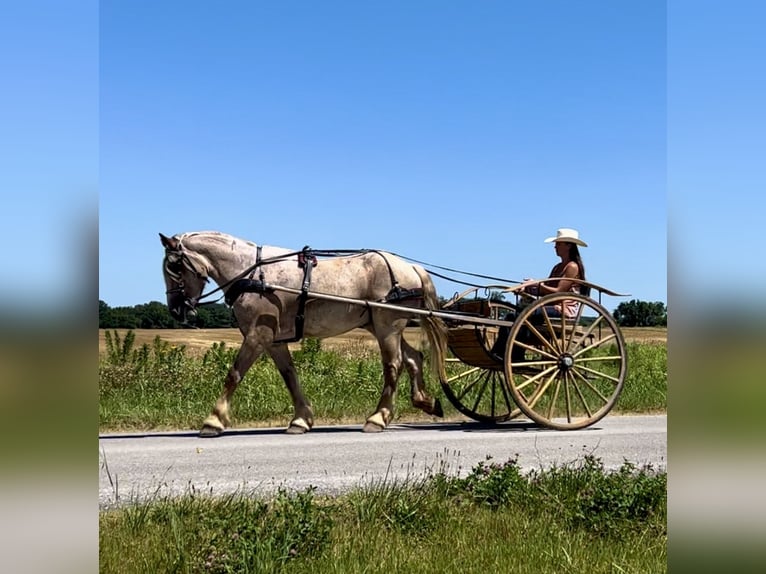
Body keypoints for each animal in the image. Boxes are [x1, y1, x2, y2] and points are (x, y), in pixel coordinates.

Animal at [160, 230, 450, 436]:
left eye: (174, 267)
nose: (176, 310)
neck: (253, 274)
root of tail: (411, 267)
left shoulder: (257, 334)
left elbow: (234, 375)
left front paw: (213, 421)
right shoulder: (274, 340)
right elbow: (290, 375)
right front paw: (301, 419)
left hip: (388, 325)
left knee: (394, 364)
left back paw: (378, 418)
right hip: (382, 326)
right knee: (414, 358)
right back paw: (424, 401)